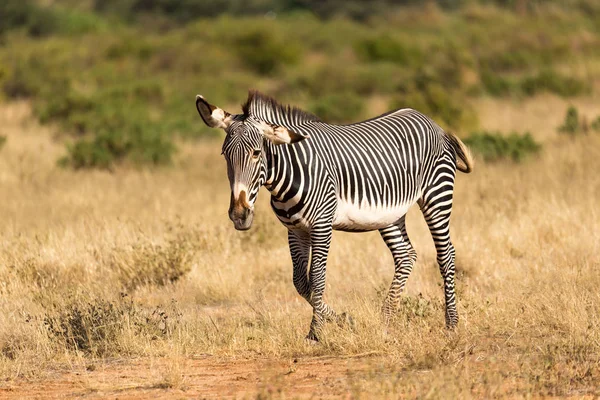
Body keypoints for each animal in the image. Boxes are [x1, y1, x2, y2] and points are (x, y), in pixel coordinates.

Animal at [196, 90, 474, 340]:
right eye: (225, 155)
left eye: (256, 153)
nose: (239, 215)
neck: (289, 173)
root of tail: (430, 121)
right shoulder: (295, 229)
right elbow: (301, 282)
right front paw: (343, 319)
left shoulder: (321, 224)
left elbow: (317, 278)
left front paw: (315, 332)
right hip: (390, 214)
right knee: (406, 255)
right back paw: (385, 320)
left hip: (437, 195)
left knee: (446, 255)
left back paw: (451, 324)